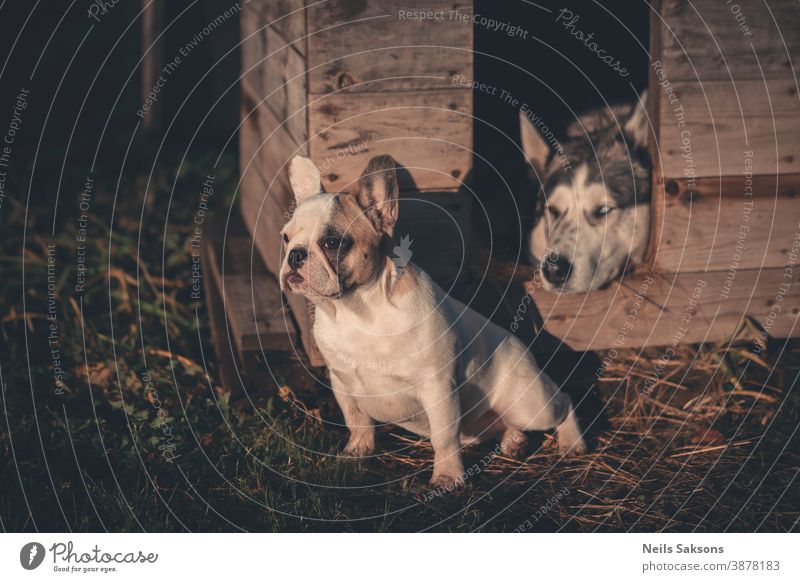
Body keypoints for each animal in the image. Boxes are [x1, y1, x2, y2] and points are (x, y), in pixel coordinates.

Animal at [278, 156, 584, 492]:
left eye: (333, 242)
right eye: (285, 238)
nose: (295, 255)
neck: (355, 311)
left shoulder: (438, 388)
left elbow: (444, 438)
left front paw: (447, 476)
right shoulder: (342, 383)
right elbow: (357, 421)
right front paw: (358, 450)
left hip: (529, 404)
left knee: (564, 402)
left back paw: (572, 444)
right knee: (507, 425)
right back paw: (514, 440)